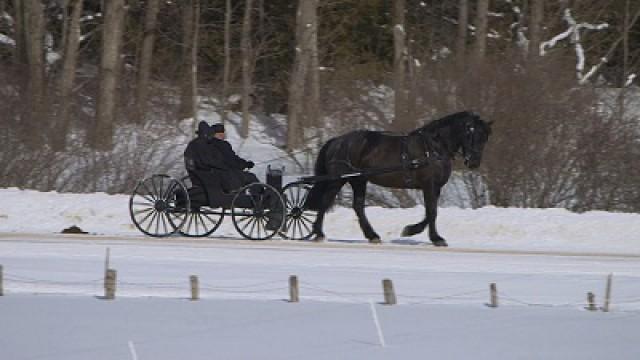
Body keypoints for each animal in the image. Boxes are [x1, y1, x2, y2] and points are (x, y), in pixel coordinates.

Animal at [304, 111, 490, 246]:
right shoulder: (429, 185)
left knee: (357, 206)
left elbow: (431, 212)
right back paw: (319, 233)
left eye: (485, 137)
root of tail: (337, 141)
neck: (433, 148)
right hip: (338, 179)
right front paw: (435, 238)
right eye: (471, 133)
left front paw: (412, 230)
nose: (473, 162)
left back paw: (372, 235)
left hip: (359, 180)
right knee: (325, 201)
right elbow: (432, 212)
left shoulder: (436, 187)